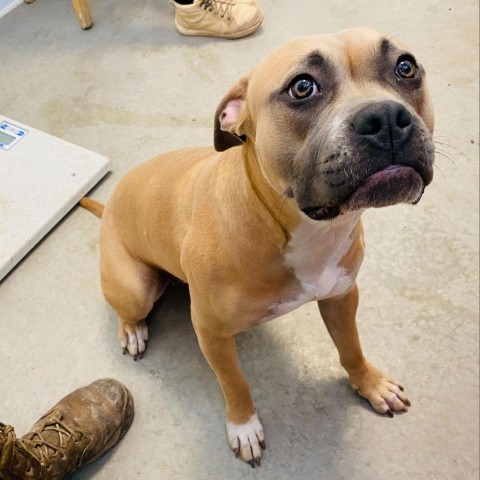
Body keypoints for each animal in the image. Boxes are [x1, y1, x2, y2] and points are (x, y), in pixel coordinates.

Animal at [80, 28, 434, 466]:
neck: (301, 226)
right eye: (302, 87)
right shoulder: (211, 333)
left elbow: (351, 347)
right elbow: (235, 382)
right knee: (129, 309)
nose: (384, 118)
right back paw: (133, 330)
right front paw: (243, 426)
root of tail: (109, 206)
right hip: (134, 288)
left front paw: (369, 384)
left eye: (405, 67)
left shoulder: (342, 297)